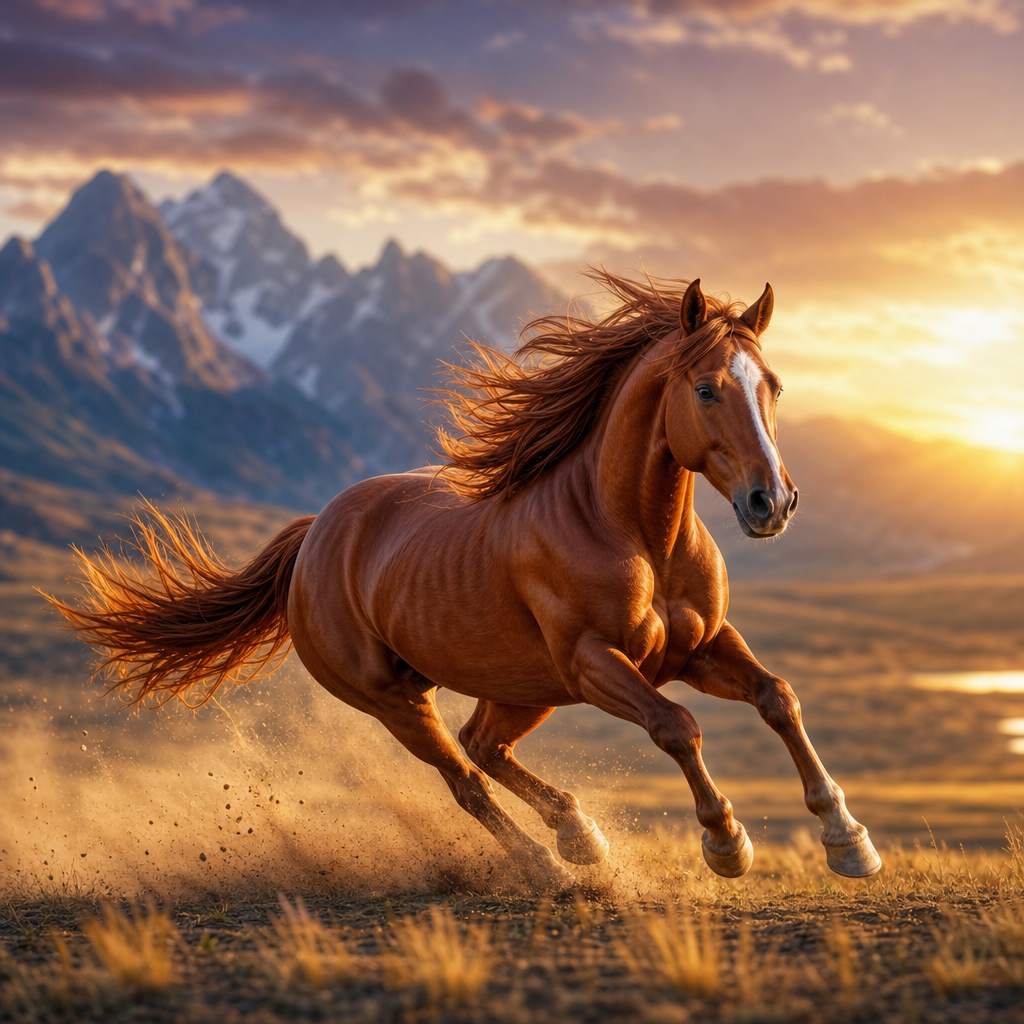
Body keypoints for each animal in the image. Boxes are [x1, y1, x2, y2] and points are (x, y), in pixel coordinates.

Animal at [49, 270, 881, 888]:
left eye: (772, 385)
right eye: (707, 388)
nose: (772, 502)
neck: (633, 534)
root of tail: (314, 534)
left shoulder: (700, 647)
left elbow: (779, 698)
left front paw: (849, 841)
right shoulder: (597, 663)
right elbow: (677, 726)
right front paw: (726, 843)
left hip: (520, 687)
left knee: (485, 747)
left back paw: (580, 836)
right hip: (399, 699)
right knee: (465, 777)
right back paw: (549, 868)